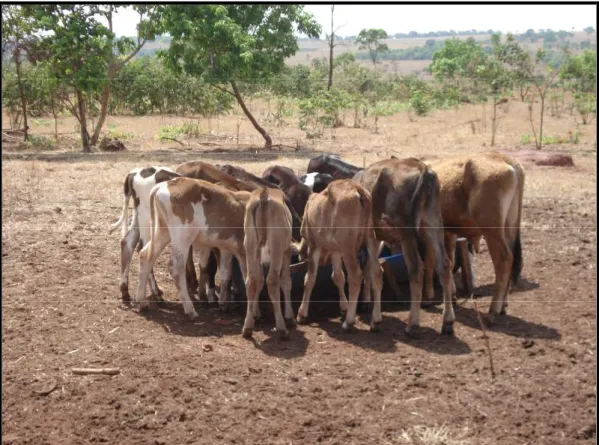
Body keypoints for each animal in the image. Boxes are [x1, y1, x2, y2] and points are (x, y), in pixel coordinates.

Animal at [108, 166, 179, 302]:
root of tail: (134, 172)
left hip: (139, 217)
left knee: (127, 243)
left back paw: (125, 290)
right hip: (149, 221)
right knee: (145, 250)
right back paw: (154, 292)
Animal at [138, 177, 251, 320]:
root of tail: (168, 183)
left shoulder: (226, 249)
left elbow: (226, 273)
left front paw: (224, 304)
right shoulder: (244, 252)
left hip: (163, 231)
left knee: (145, 255)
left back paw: (142, 303)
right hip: (182, 237)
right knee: (176, 267)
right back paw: (190, 310)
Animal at [240, 186, 294, 336]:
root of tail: (264, 193)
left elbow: (259, 281)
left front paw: (255, 315)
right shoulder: (287, 251)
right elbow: (286, 282)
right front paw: (290, 317)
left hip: (250, 245)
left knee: (251, 280)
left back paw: (247, 327)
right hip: (277, 247)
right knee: (272, 280)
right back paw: (281, 327)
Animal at [296, 180, 384, 330]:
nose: (300, 254)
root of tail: (359, 190)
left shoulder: (314, 246)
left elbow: (309, 279)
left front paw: (302, 314)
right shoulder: (336, 250)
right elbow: (338, 276)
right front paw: (343, 306)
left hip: (348, 247)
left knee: (355, 275)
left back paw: (348, 321)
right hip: (371, 240)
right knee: (376, 273)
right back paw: (376, 321)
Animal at [356, 158, 454, 334]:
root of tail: (423, 169)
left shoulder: (371, 236)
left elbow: (376, 272)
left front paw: (376, 320)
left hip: (406, 232)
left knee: (416, 269)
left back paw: (412, 325)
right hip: (434, 223)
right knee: (444, 265)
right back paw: (447, 322)